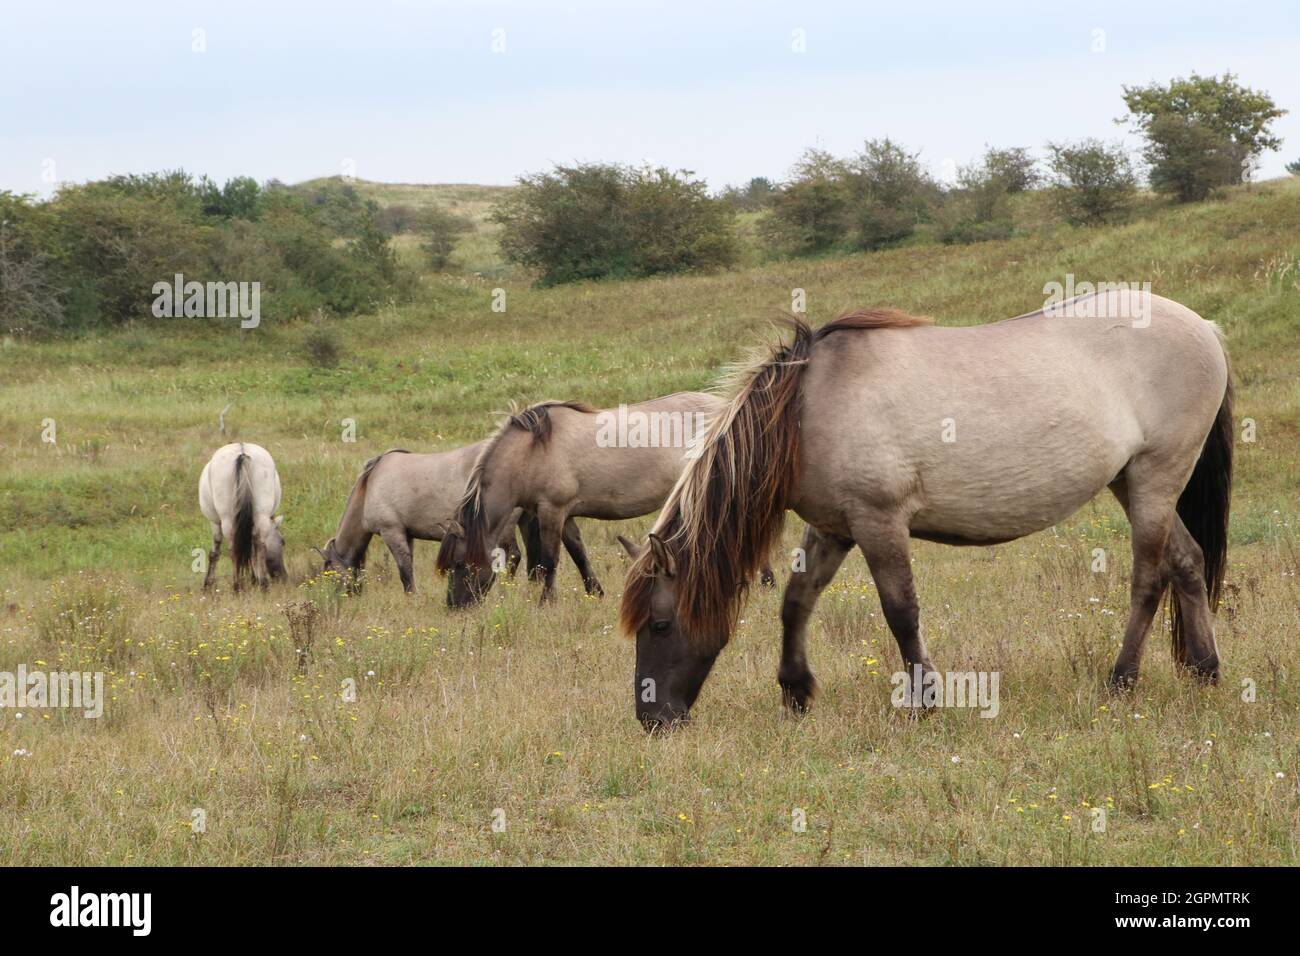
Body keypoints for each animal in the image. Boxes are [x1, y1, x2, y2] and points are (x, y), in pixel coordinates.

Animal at [199, 442, 286, 591]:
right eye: (282, 541)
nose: (282, 576)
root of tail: (242, 452)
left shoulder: (215, 523)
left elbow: (214, 553)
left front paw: (208, 585)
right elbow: (252, 551)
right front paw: (255, 579)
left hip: (227, 519)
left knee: (233, 549)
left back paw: (237, 587)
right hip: (261, 514)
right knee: (260, 546)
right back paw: (264, 585)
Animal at [315, 445, 595, 593]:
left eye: (329, 571)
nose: (342, 598)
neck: (370, 485)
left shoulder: (391, 531)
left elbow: (405, 571)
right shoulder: (406, 534)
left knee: (513, 555)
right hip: (526, 521)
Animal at [436, 391, 776, 607]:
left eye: (459, 563)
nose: (454, 606)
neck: (531, 451)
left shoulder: (552, 510)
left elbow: (549, 560)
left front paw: (546, 603)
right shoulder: (565, 514)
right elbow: (579, 554)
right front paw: (595, 594)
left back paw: (764, 582)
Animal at [619, 291, 1233, 730]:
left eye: (660, 623)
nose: (653, 719)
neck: (805, 408)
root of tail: (1204, 328)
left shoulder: (879, 522)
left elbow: (901, 612)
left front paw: (925, 700)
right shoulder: (833, 527)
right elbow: (796, 603)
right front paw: (795, 691)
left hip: (1155, 479)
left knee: (1148, 579)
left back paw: (1121, 680)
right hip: (1132, 482)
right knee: (1187, 561)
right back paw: (1205, 671)